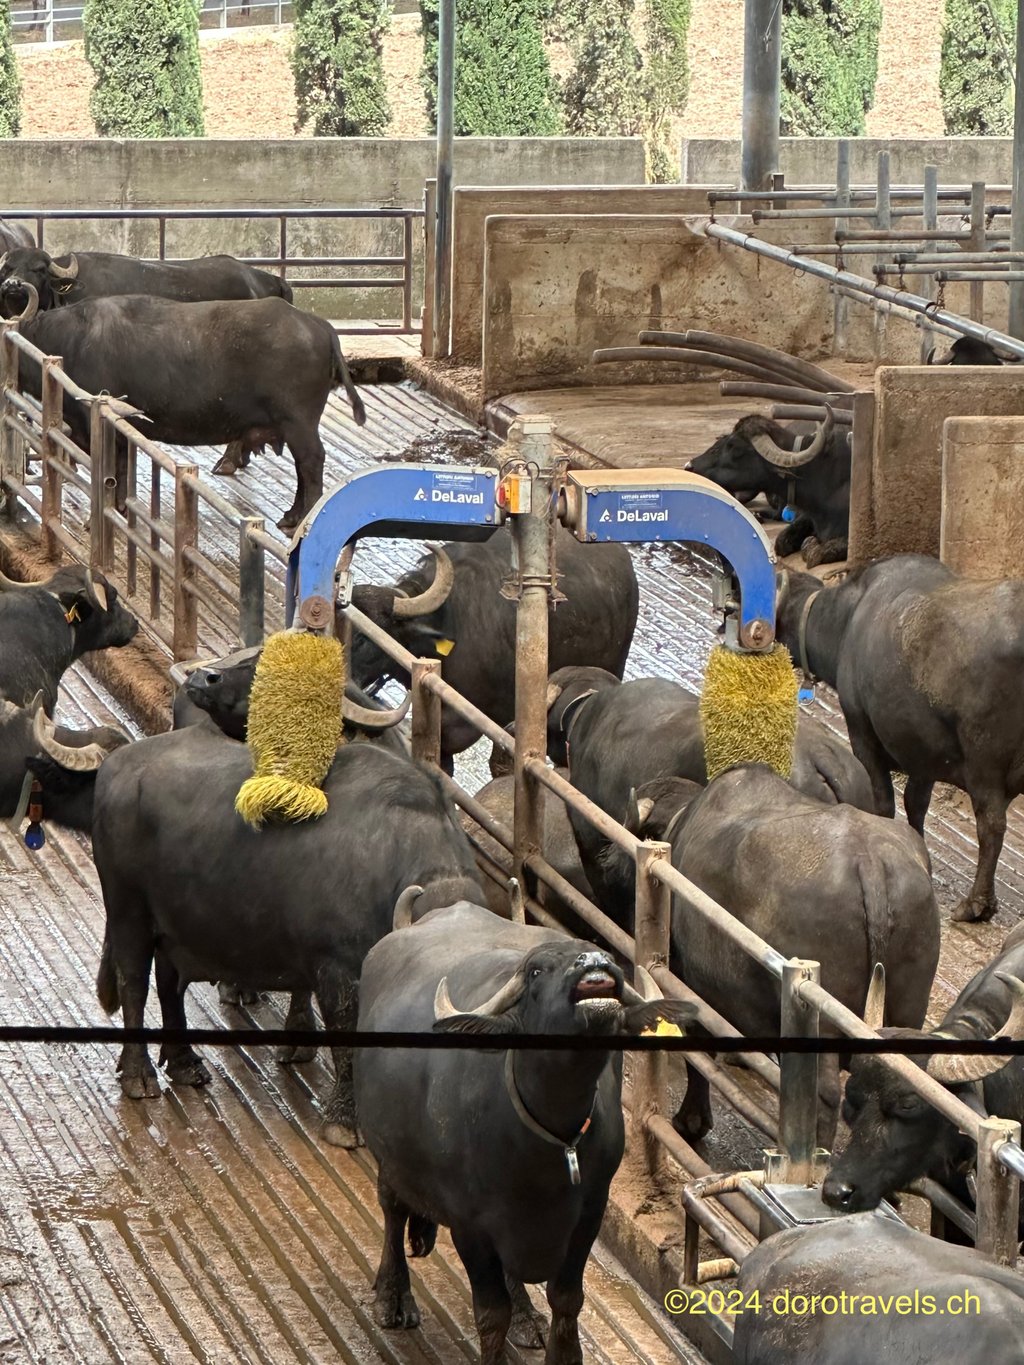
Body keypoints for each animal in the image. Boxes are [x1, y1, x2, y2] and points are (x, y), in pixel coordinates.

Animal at [2, 284, 365, 531]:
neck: (69, 341)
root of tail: (318, 326)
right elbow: (121, 470)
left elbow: (111, 471)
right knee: (304, 466)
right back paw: (290, 516)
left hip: (298, 422)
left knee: (311, 462)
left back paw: (302, 519)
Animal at [92, 728, 484, 1144]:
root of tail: (115, 764)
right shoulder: (337, 969)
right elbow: (346, 1037)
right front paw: (344, 1121)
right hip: (128, 912)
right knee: (134, 984)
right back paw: (139, 1075)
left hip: (174, 926)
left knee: (170, 985)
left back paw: (184, 1063)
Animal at [354, 899, 695, 1363]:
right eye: (536, 971)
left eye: (600, 954)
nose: (595, 962)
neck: (548, 1148)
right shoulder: (470, 1227)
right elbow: (490, 1313)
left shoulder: (589, 1212)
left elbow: (566, 1298)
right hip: (388, 1154)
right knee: (392, 1207)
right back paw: (392, 1296)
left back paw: (525, 1316)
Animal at [776, 553, 1024, 922]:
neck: (850, 620)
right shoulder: (923, 754)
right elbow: (915, 803)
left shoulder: (863, 733)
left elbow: (884, 799)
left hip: (985, 763)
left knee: (991, 827)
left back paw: (976, 904)